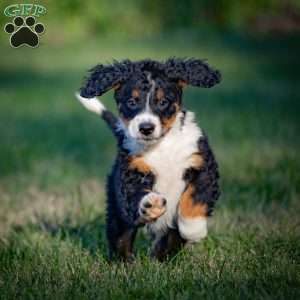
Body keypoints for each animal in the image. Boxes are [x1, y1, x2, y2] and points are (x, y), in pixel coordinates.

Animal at [76, 58, 221, 260]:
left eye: (163, 102)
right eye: (131, 102)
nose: (146, 128)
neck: (161, 147)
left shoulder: (203, 165)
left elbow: (195, 197)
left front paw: (193, 230)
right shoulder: (131, 172)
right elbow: (136, 194)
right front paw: (150, 204)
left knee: (169, 239)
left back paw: (159, 257)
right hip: (117, 210)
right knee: (120, 237)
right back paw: (124, 262)